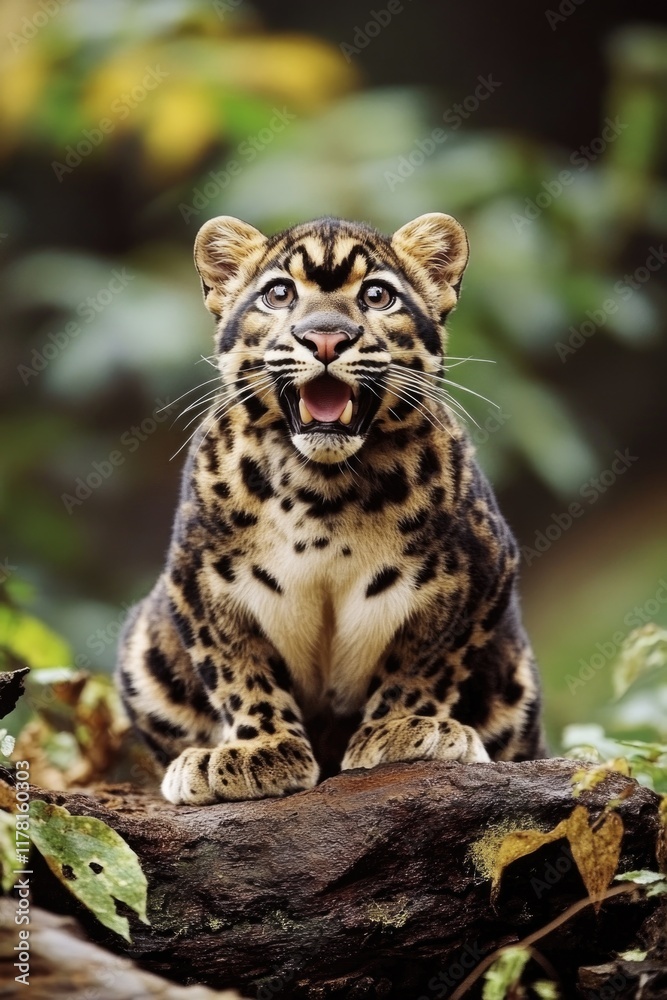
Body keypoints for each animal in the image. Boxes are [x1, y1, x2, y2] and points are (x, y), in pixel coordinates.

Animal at [116, 211, 547, 805]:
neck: (322, 491)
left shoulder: (483, 569)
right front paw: (258, 750)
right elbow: (237, 669)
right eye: (279, 293)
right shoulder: (196, 580)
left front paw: (403, 729)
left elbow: (427, 660)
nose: (325, 338)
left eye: (377, 295)